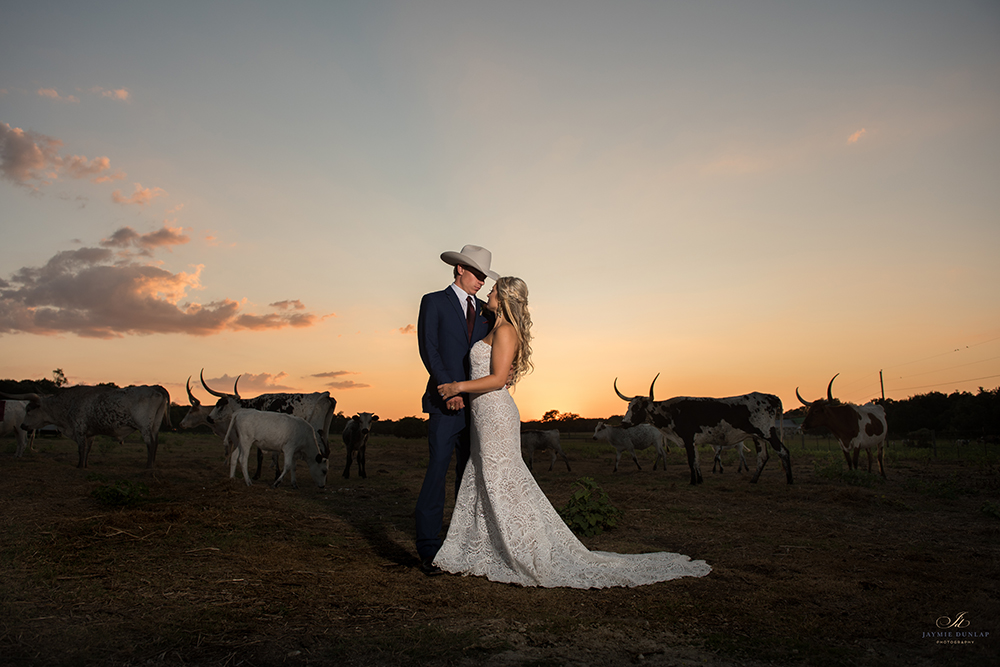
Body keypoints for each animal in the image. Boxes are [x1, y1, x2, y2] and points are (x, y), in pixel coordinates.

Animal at [7, 386, 170, 470]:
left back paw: (148, 467)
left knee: (150, 444)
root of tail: (155, 387)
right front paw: (85, 465)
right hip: (154, 425)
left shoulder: (79, 429)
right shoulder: (90, 433)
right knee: (155, 443)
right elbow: (88, 450)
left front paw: (79, 466)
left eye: (29, 409)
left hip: (144, 426)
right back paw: (152, 465)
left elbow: (81, 448)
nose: (22, 425)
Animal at [199, 370, 336, 474]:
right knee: (327, 451)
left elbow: (261, 455)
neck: (254, 404)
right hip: (324, 431)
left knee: (322, 452)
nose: (209, 418)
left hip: (316, 431)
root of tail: (325, 394)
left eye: (219, 404)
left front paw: (257, 475)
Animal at [612, 376, 792, 486]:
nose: (624, 422)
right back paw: (753, 480)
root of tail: (770, 397)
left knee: (783, 451)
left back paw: (790, 481)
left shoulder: (687, 438)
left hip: (768, 432)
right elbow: (697, 461)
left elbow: (691, 460)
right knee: (763, 456)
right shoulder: (694, 442)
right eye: (628, 406)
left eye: (637, 408)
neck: (671, 411)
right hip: (758, 436)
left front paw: (693, 481)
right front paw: (699, 480)